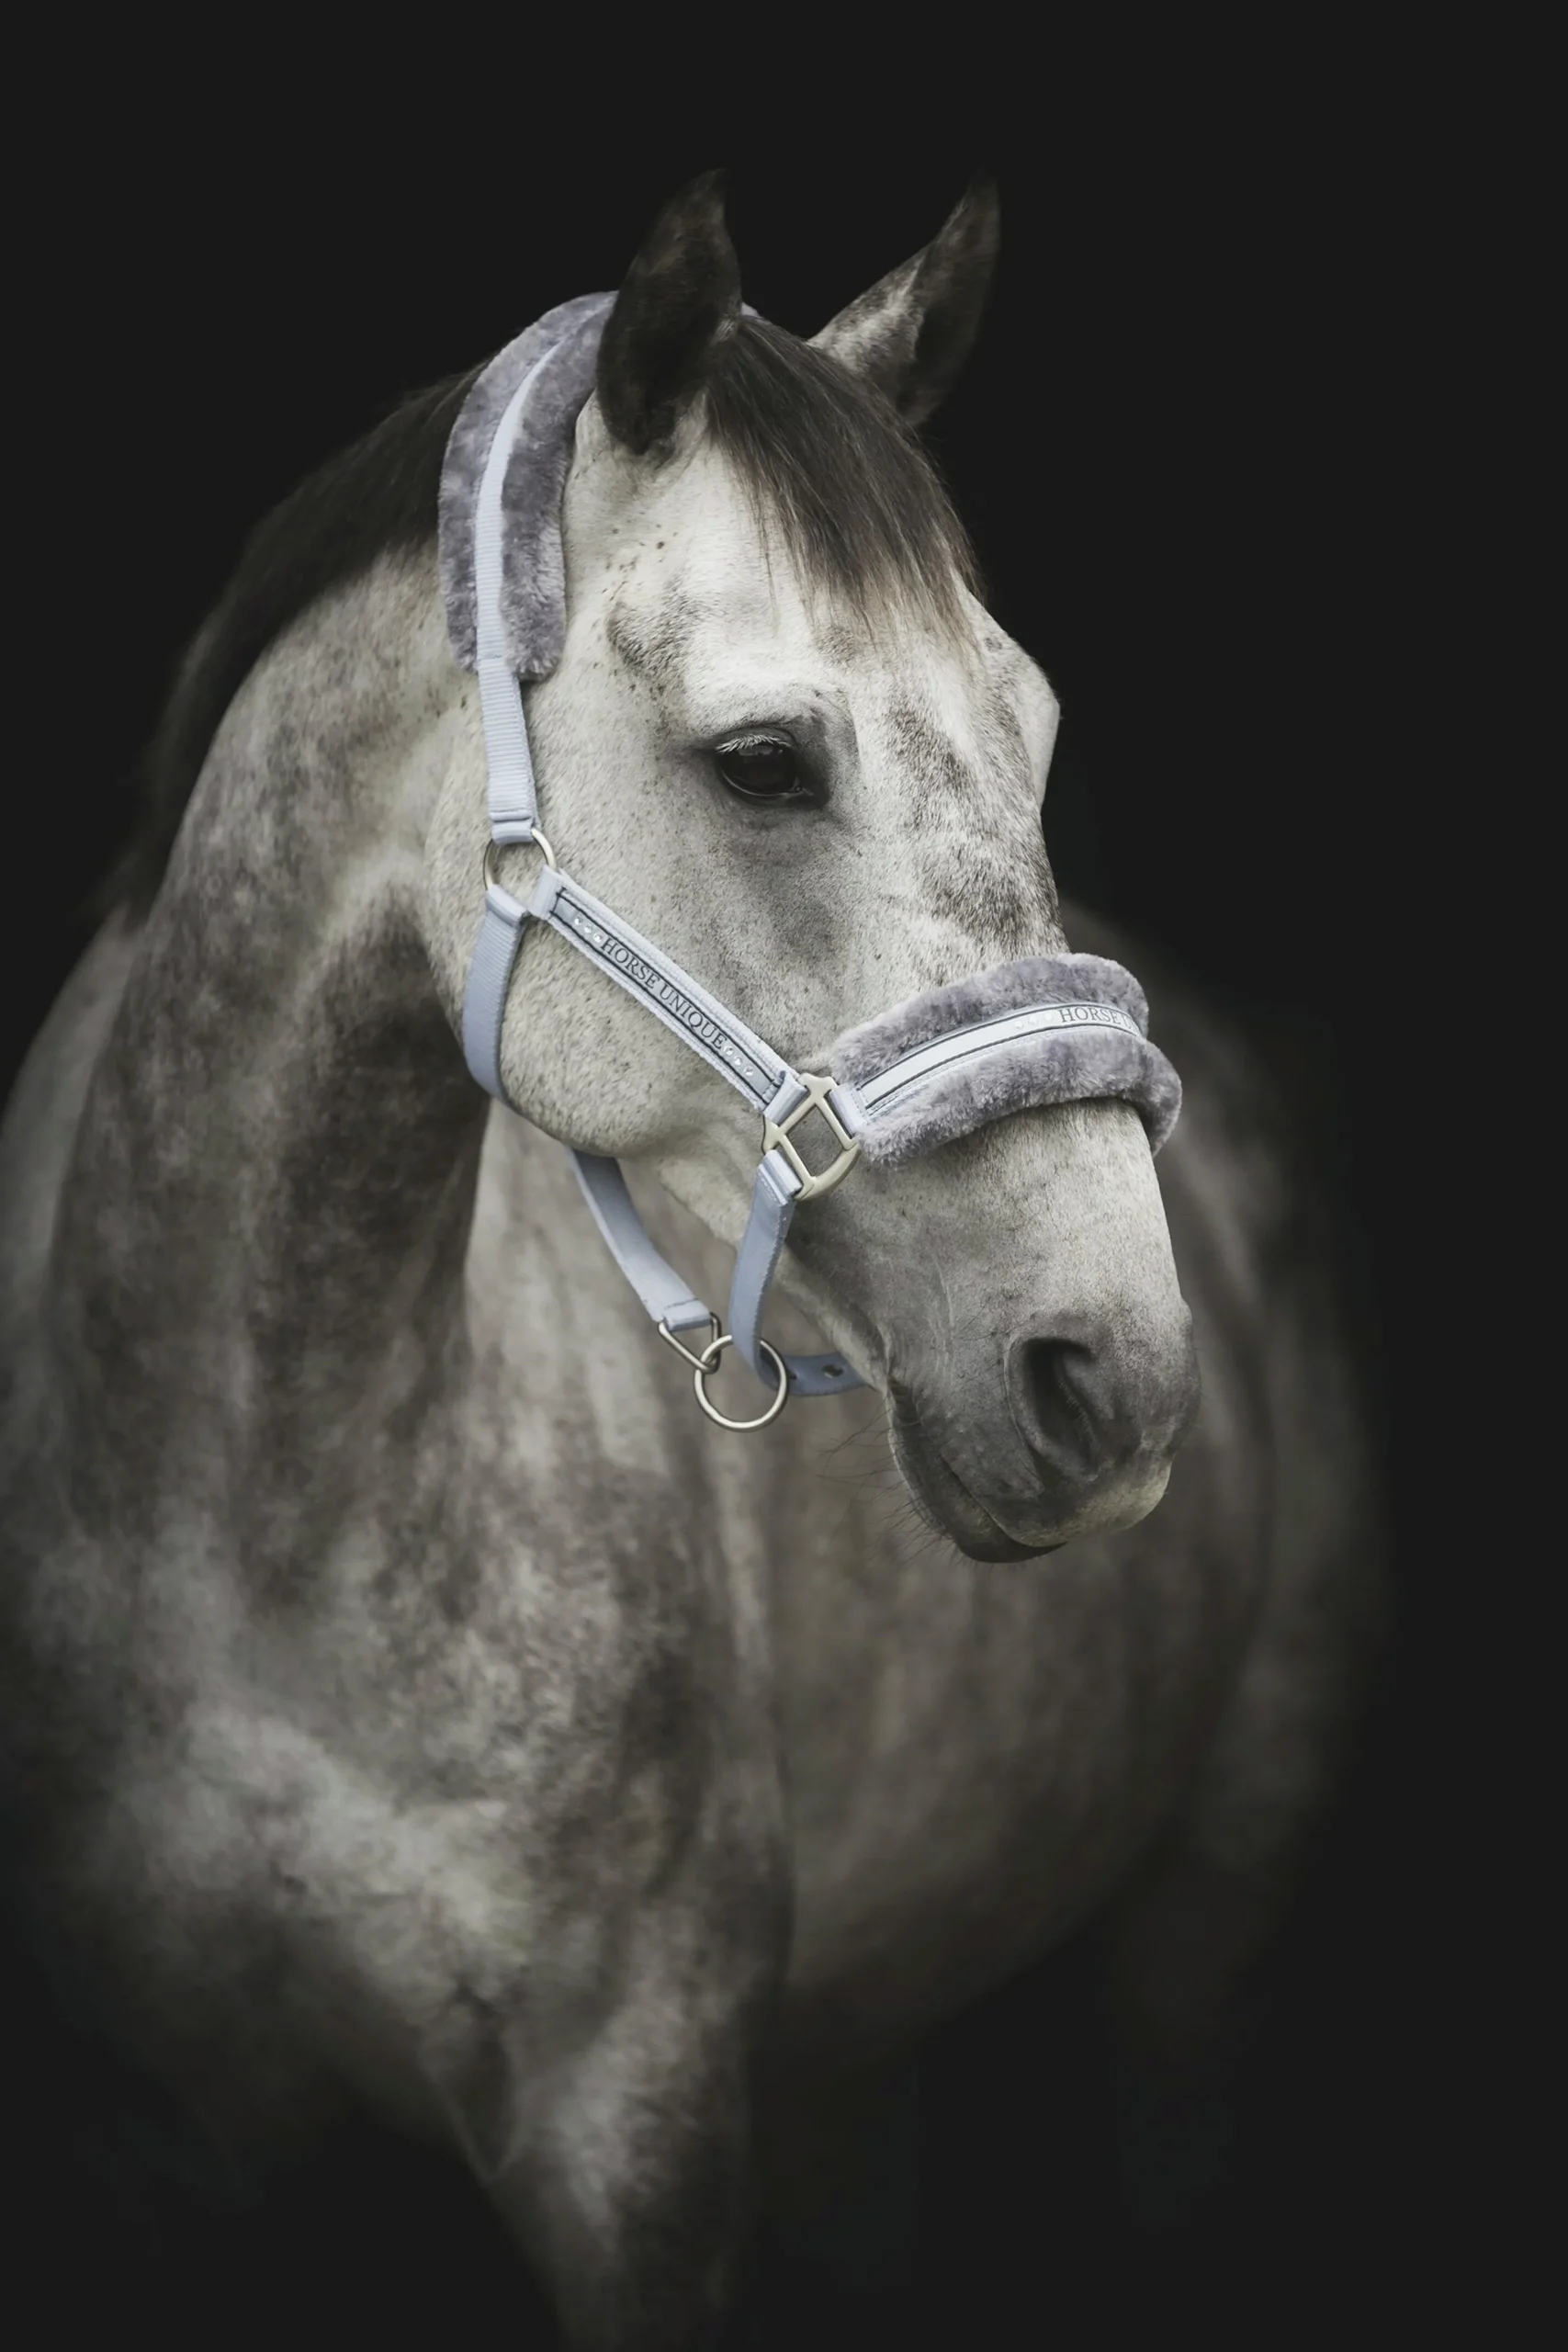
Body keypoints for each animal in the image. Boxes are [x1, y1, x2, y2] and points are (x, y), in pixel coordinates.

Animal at [0, 175, 1379, 2347]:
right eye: (759, 761)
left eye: (1034, 732)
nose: (1115, 1378)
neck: (238, 1522)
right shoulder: (160, 2137)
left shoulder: (634, 2138)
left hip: (1208, 1907)